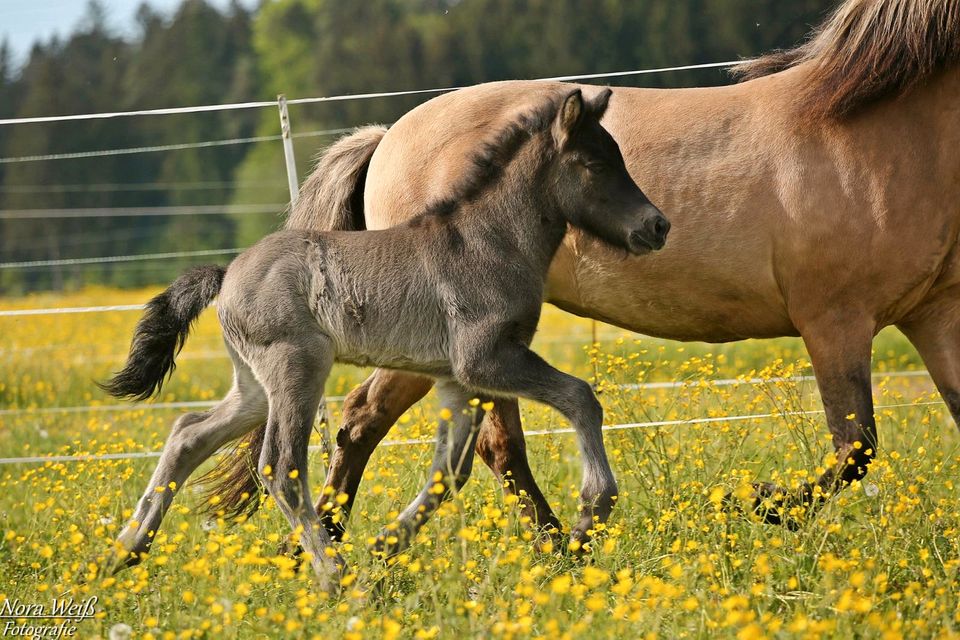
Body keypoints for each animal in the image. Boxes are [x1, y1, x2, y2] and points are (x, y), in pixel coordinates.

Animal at [212, 0, 960, 536]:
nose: (656, 227)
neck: (870, 126)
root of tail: (387, 136)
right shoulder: (834, 319)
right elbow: (855, 446)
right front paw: (756, 505)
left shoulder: (936, 315)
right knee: (462, 440)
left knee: (378, 424)